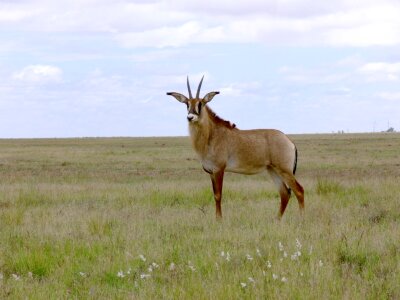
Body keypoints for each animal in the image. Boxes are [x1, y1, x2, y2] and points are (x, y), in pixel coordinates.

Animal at [167, 76, 304, 219]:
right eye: (187, 104)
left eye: (200, 103)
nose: (190, 117)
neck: (211, 135)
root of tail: (289, 142)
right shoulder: (211, 172)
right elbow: (215, 195)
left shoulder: (219, 170)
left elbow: (218, 195)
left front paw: (219, 220)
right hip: (273, 170)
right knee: (285, 193)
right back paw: (276, 220)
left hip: (285, 170)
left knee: (299, 190)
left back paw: (301, 219)